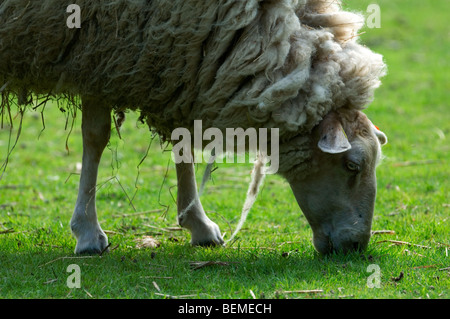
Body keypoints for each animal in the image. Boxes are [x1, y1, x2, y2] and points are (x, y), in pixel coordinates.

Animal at [0, 0, 386, 255]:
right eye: (352, 165)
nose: (357, 245)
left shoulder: (174, 57)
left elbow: (182, 142)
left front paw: (198, 224)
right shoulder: (96, 51)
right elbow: (96, 137)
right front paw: (87, 232)